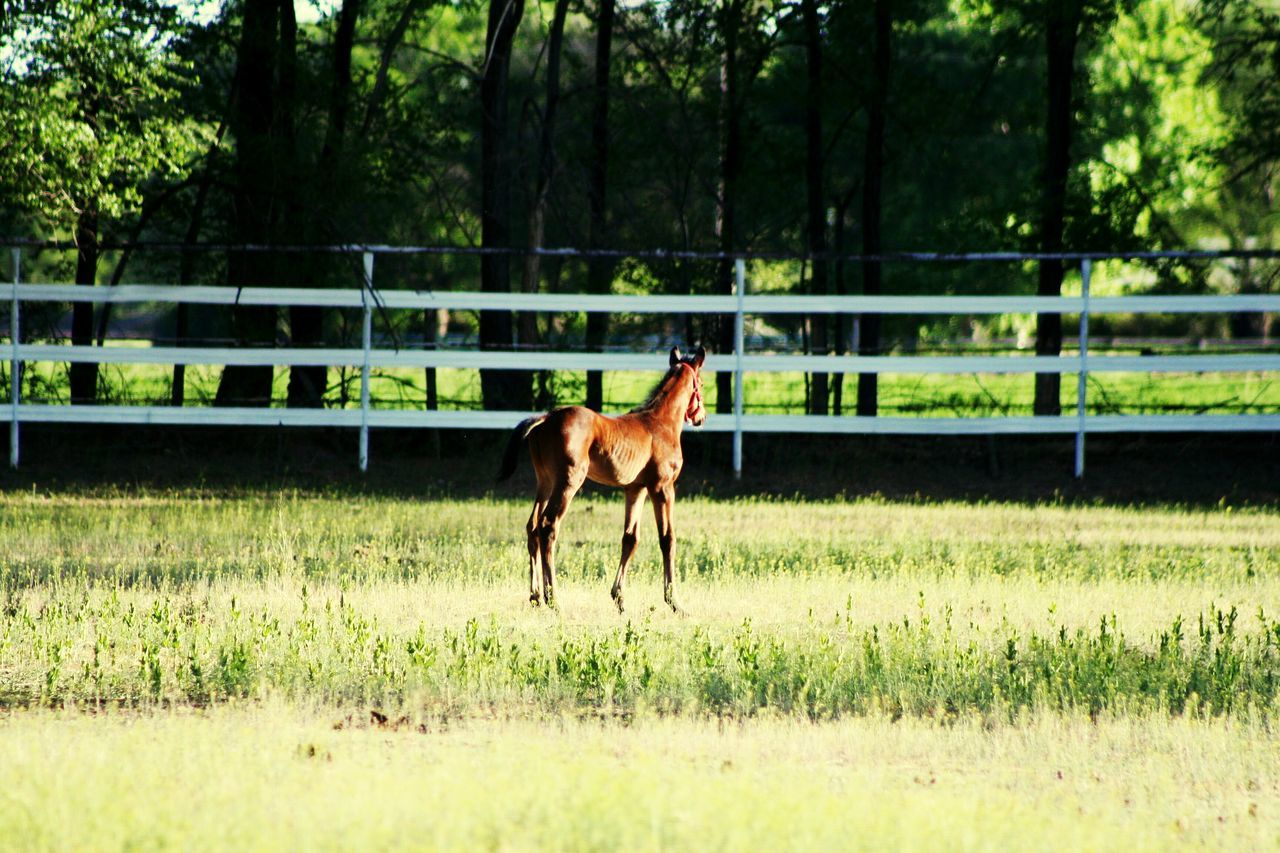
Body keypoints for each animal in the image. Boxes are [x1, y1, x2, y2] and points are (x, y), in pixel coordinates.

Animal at [494, 345, 711, 612]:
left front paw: (619, 598)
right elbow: (667, 539)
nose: (701, 417)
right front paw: (674, 603)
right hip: (568, 481)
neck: (660, 422)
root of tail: (546, 418)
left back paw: (535, 596)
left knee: (533, 526)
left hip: (545, 481)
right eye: (701, 384)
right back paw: (553, 599)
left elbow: (630, 538)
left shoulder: (635, 488)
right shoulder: (662, 487)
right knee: (548, 526)